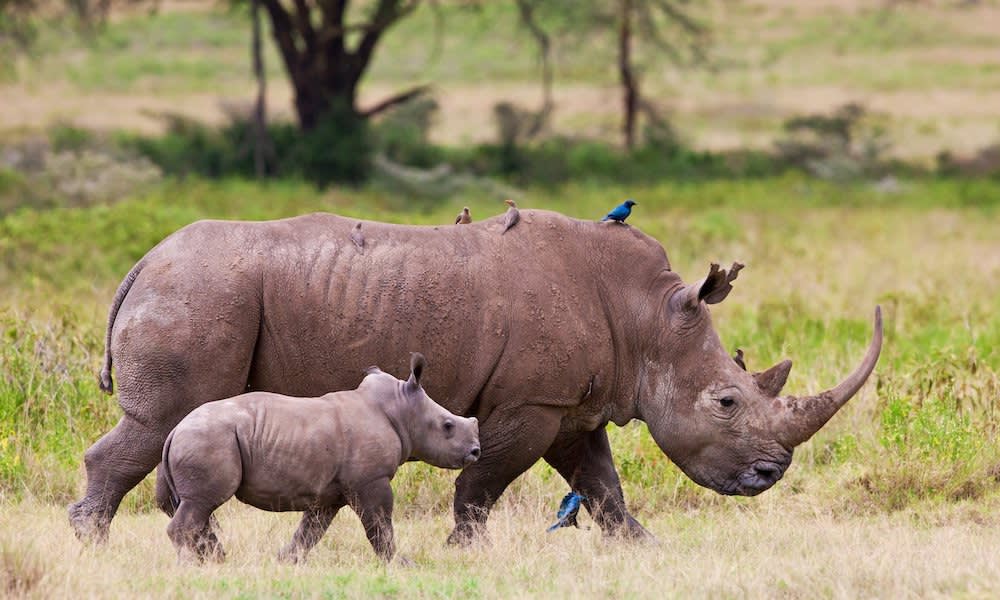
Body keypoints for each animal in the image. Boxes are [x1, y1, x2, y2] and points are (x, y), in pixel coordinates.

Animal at [156, 352, 480, 564]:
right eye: (447, 426)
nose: (476, 451)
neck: (400, 409)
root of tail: (175, 430)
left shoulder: (329, 491)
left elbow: (311, 530)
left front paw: (286, 561)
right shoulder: (371, 479)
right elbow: (379, 524)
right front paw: (399, 564)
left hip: (203, 438)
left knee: (199, 506)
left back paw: (215, 561)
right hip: (208, 439)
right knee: (203, 503)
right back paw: (192, 565)